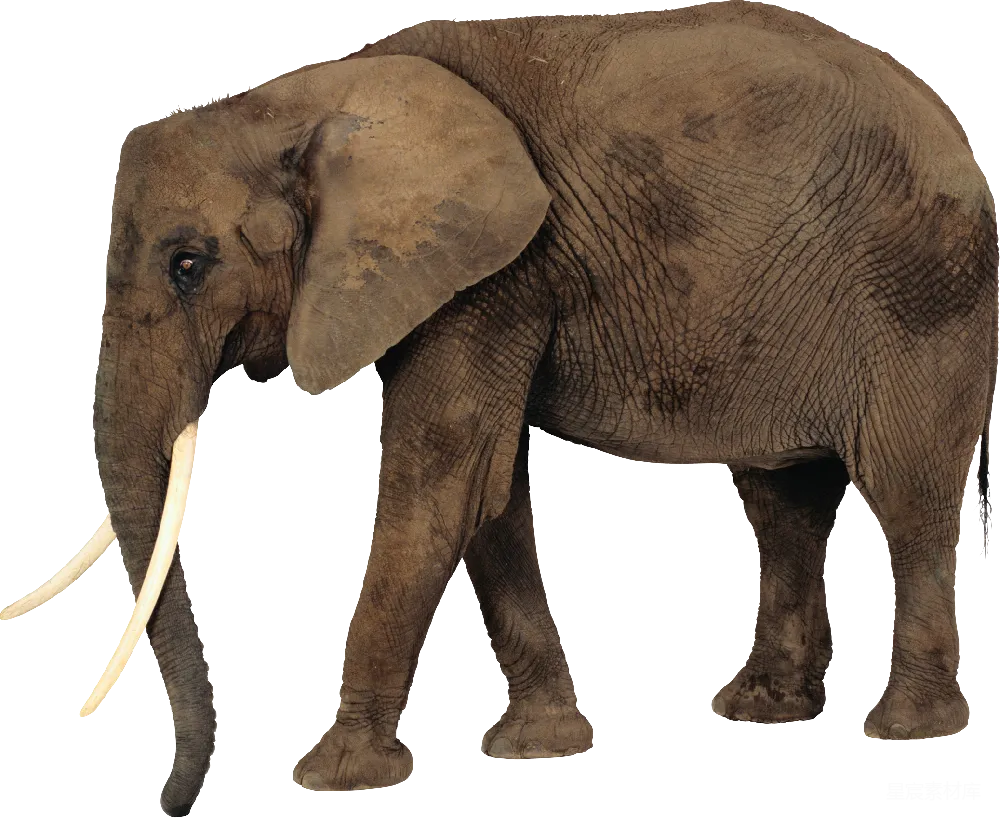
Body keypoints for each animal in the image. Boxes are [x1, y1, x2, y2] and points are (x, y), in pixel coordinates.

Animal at [3, 2, 995, 813]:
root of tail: (955, 132)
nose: (177, 802)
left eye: (187, 264)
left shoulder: (497, 272)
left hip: (923, 292)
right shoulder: (485, 276)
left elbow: (440, 483)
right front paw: (538, 749)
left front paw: (332, 775)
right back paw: (762, 710)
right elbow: (489, 495)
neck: (305, 99)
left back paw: (908, 730)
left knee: (905, 497)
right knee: (783, 498)